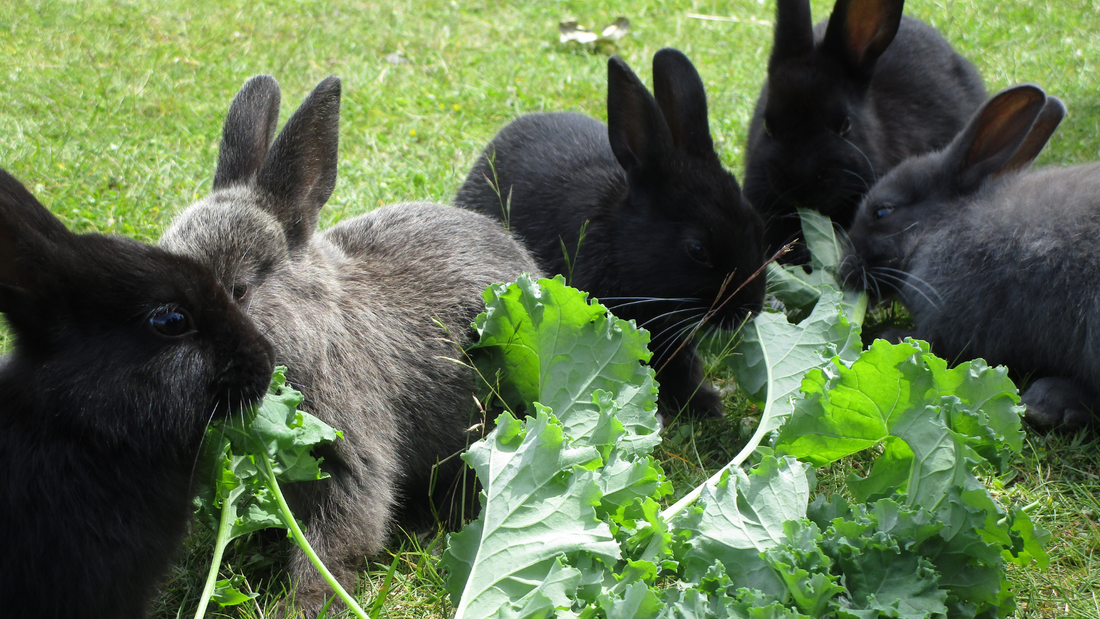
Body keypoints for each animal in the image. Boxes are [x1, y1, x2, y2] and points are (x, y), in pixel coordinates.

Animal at [839, 82, 1100, 430]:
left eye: (882, 211)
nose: (842, 269)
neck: (942, 225)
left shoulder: (953, 313)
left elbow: (934, 343)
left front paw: (891, 338)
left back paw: (1048, 402)